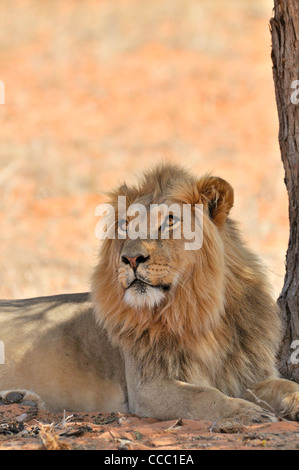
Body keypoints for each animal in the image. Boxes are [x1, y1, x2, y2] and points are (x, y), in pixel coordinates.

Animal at [0, 162, 299, 426]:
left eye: (169, 221)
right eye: (124, 225)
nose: (131, 259)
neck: (199, 311)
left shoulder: (248, 374)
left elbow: (285, 385)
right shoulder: (147, 387)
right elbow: (202, 395)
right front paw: (246, 413)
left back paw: (19, 398)